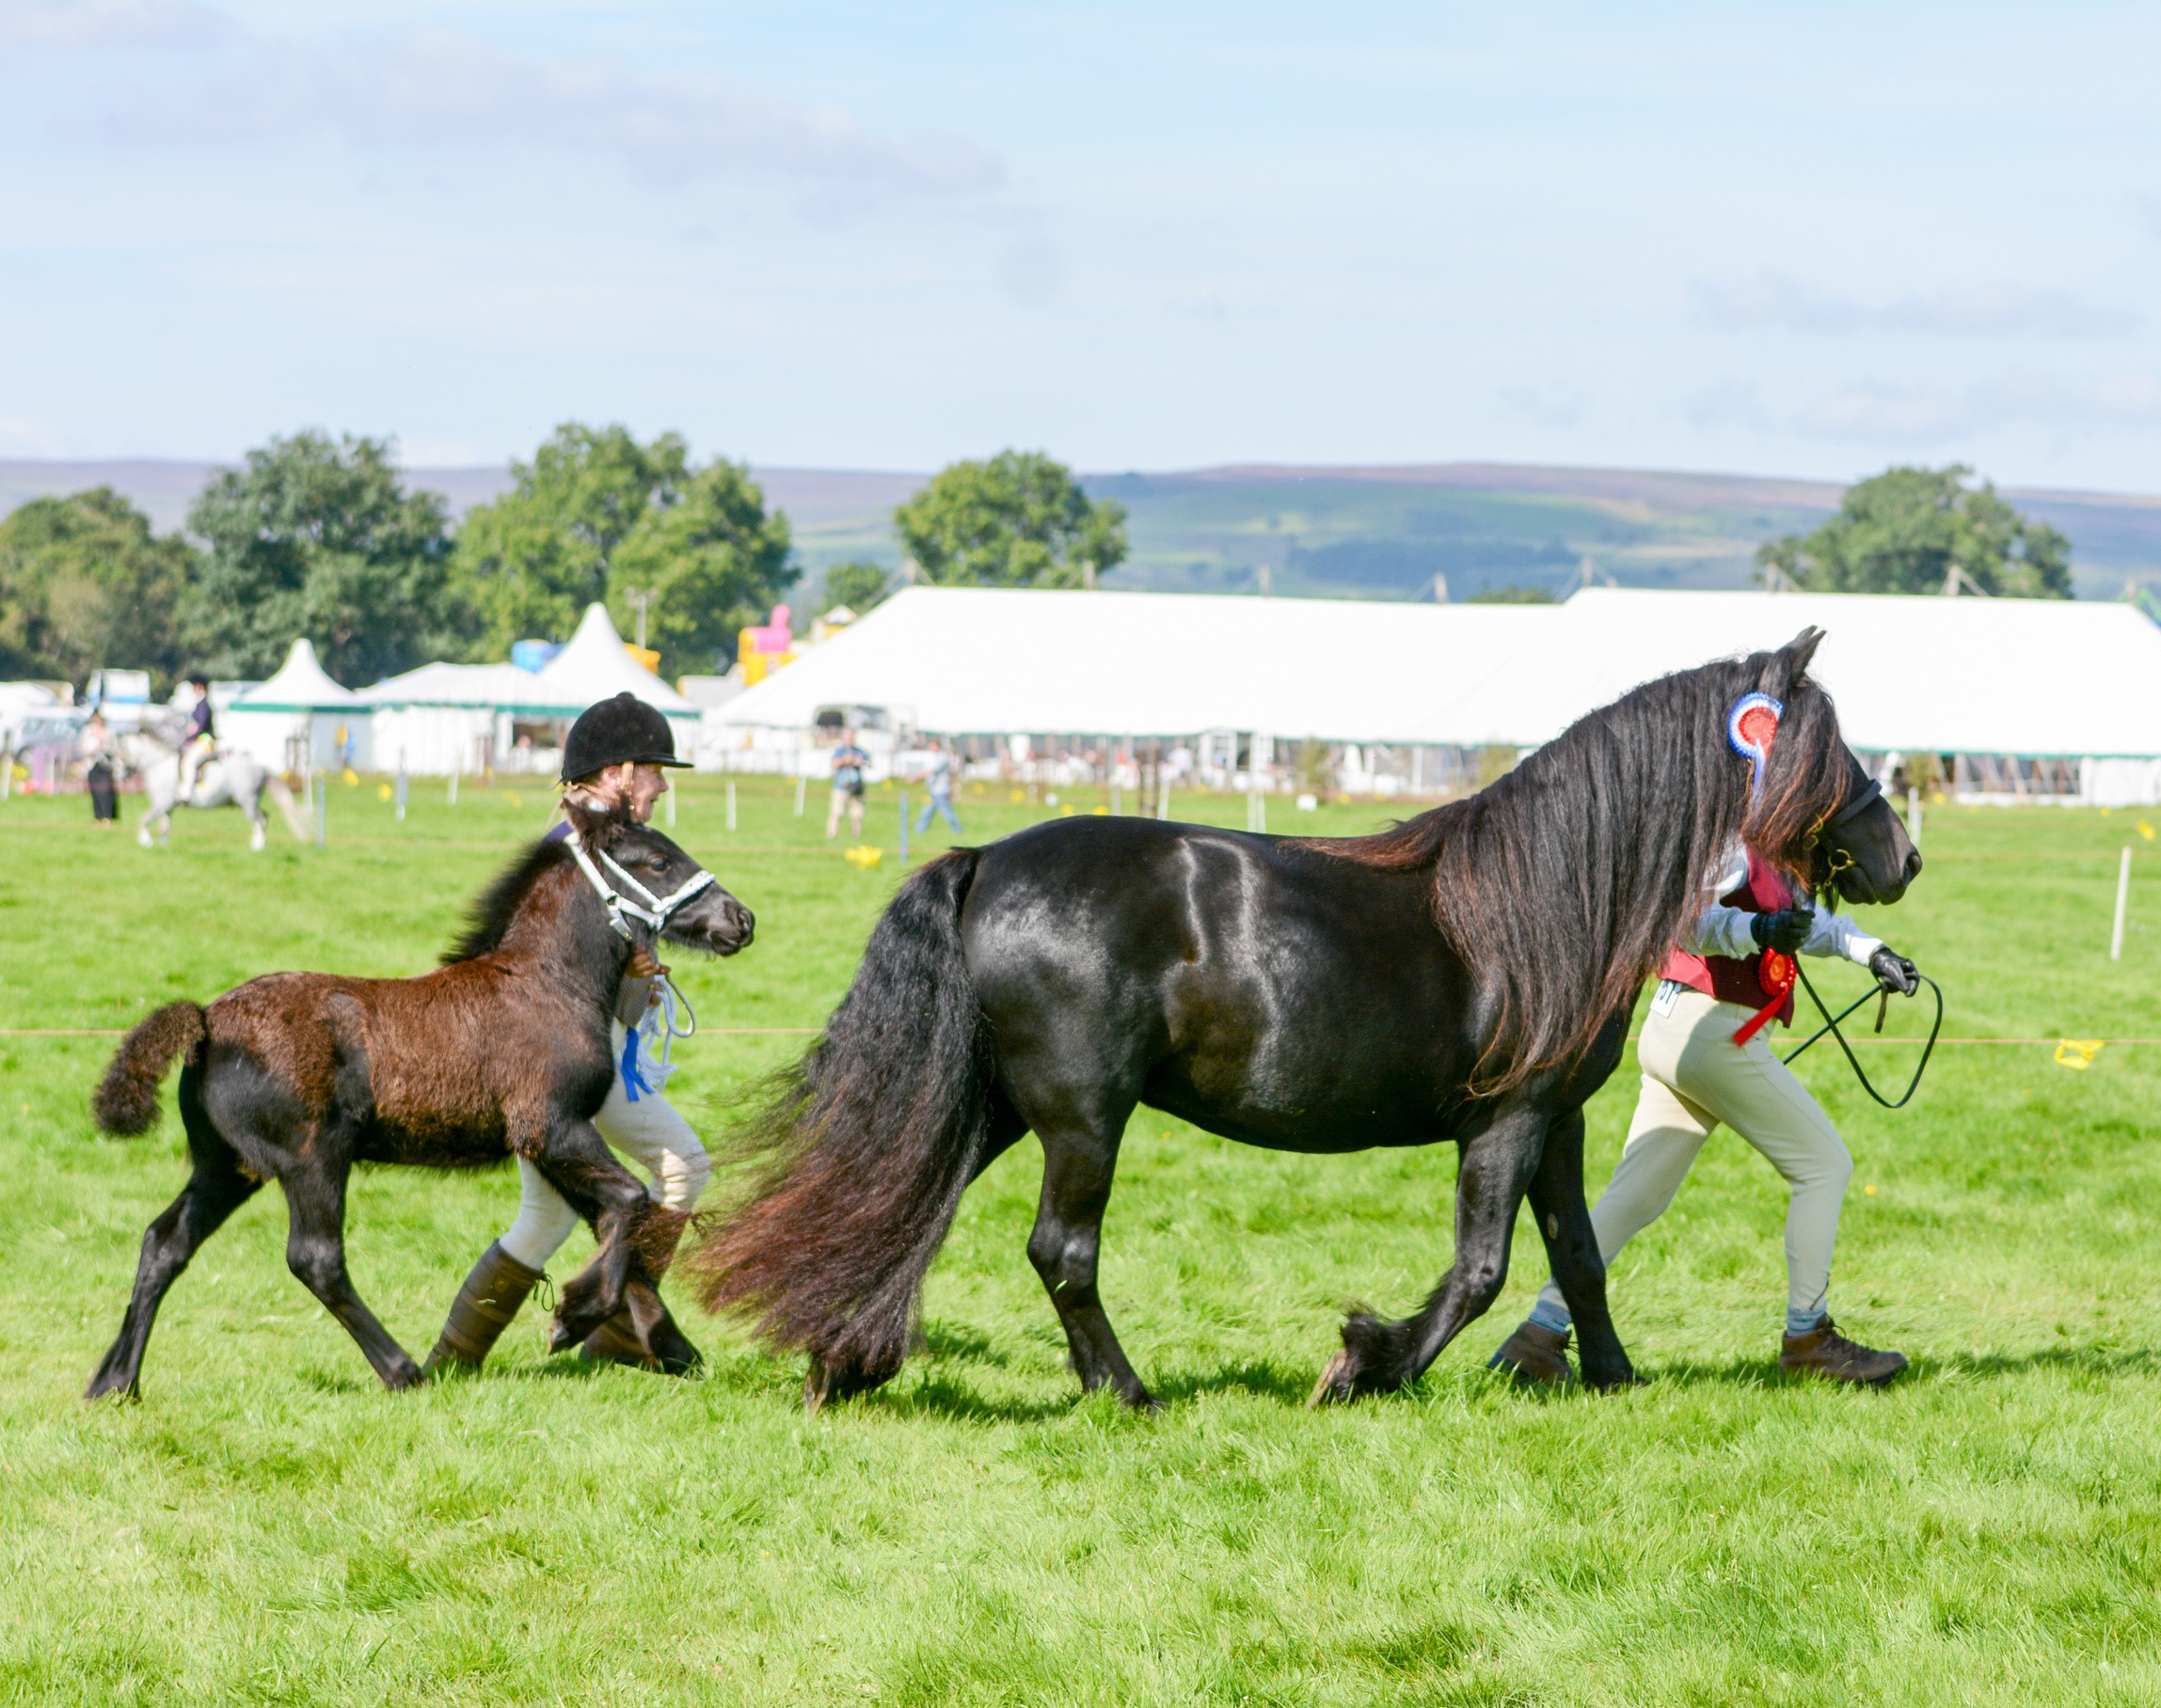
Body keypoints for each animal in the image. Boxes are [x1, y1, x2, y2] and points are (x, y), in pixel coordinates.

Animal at [687, 634, 1910, 1407]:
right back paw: (1123, 1392)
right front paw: (1367, 1363)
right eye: (1830, 745)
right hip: (1081, 1115)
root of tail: (986, 860)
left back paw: (846, 1362)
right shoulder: (1504, 1121)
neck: (1546, 897)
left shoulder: (1555, 1120)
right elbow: (1480, 1267)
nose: (1899, 853)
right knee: (1060, 1249)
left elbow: (1578, 1253)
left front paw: (1611, 1378)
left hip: (994, 1103)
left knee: (910, 1209)